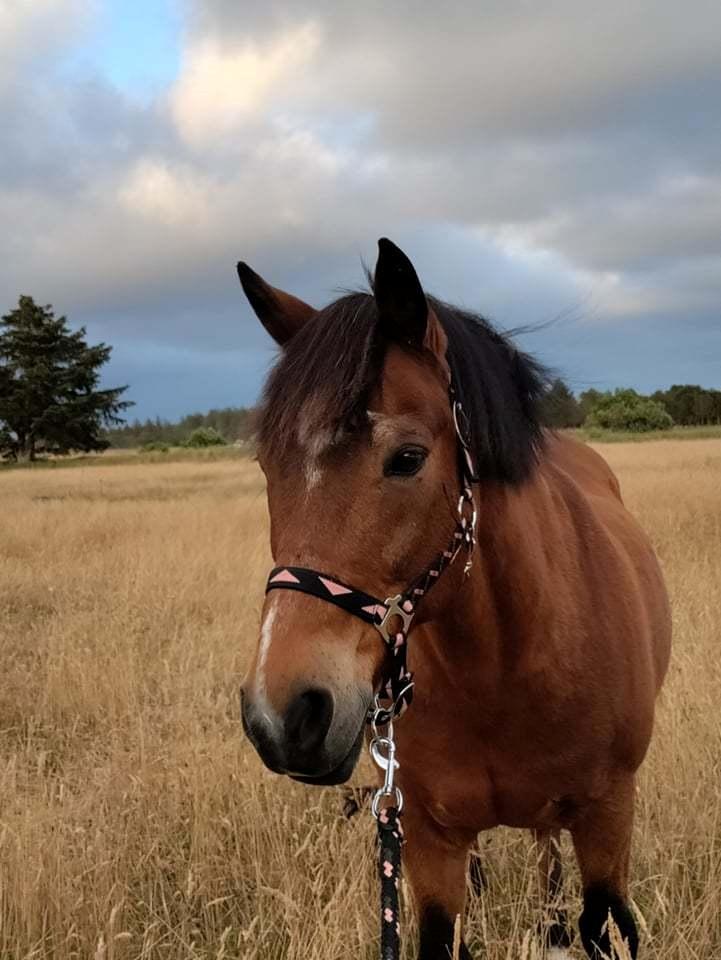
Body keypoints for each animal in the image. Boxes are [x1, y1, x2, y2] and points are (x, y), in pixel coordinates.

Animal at [239, 240, 672, 960]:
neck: (505, 664)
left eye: (408, 458)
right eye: (268, 465)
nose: (284, 716)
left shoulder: (608, 821)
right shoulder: (427, 840)